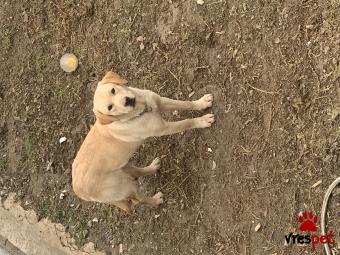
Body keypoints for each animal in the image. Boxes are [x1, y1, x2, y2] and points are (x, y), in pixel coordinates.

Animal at [71, 71, 214, 213]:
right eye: (110, 108)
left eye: (113, 90)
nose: (127, 101)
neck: (142, 110)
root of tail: (78, 191)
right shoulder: (164, 128)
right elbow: (187, 122)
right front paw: (202, 121)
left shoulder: (161, 101)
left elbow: (187, 104)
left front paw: (202, 103)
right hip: (126, 187)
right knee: (139, 199)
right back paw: (155, 200)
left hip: (124, 166)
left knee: (136, 172)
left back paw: (153, 167)